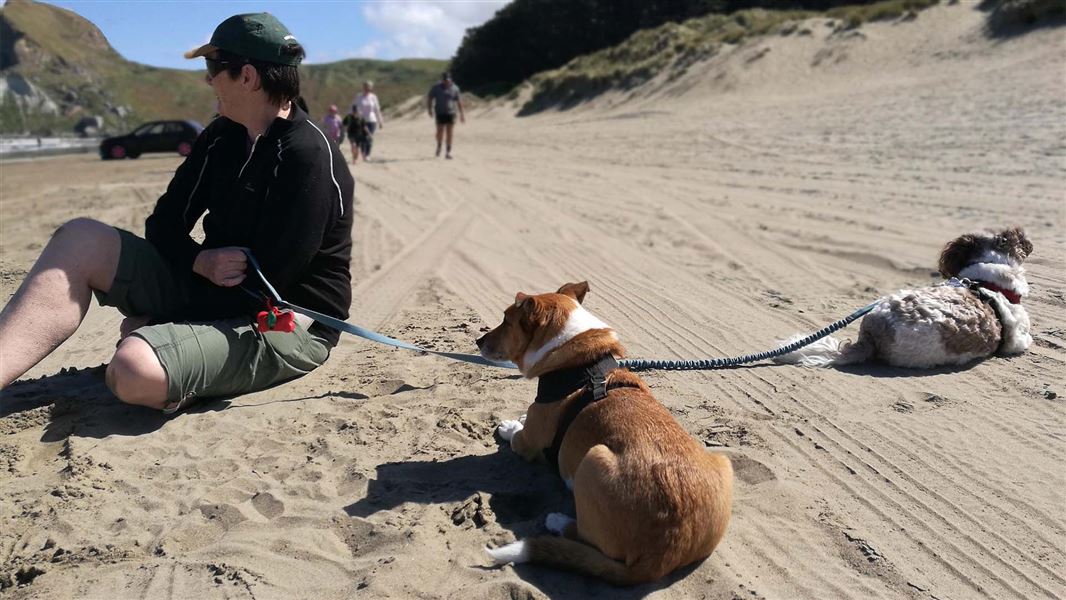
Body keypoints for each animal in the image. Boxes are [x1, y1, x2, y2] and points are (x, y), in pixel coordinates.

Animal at [477, 283, 733, 588]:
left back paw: (558, 521)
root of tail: (661, 556)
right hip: (723, 462)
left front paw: (509, 427)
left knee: (585, 538)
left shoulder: (528, 443)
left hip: (592, 459)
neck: (579, 365)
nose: (478, 341)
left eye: (506, 321)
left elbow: (518, 436)